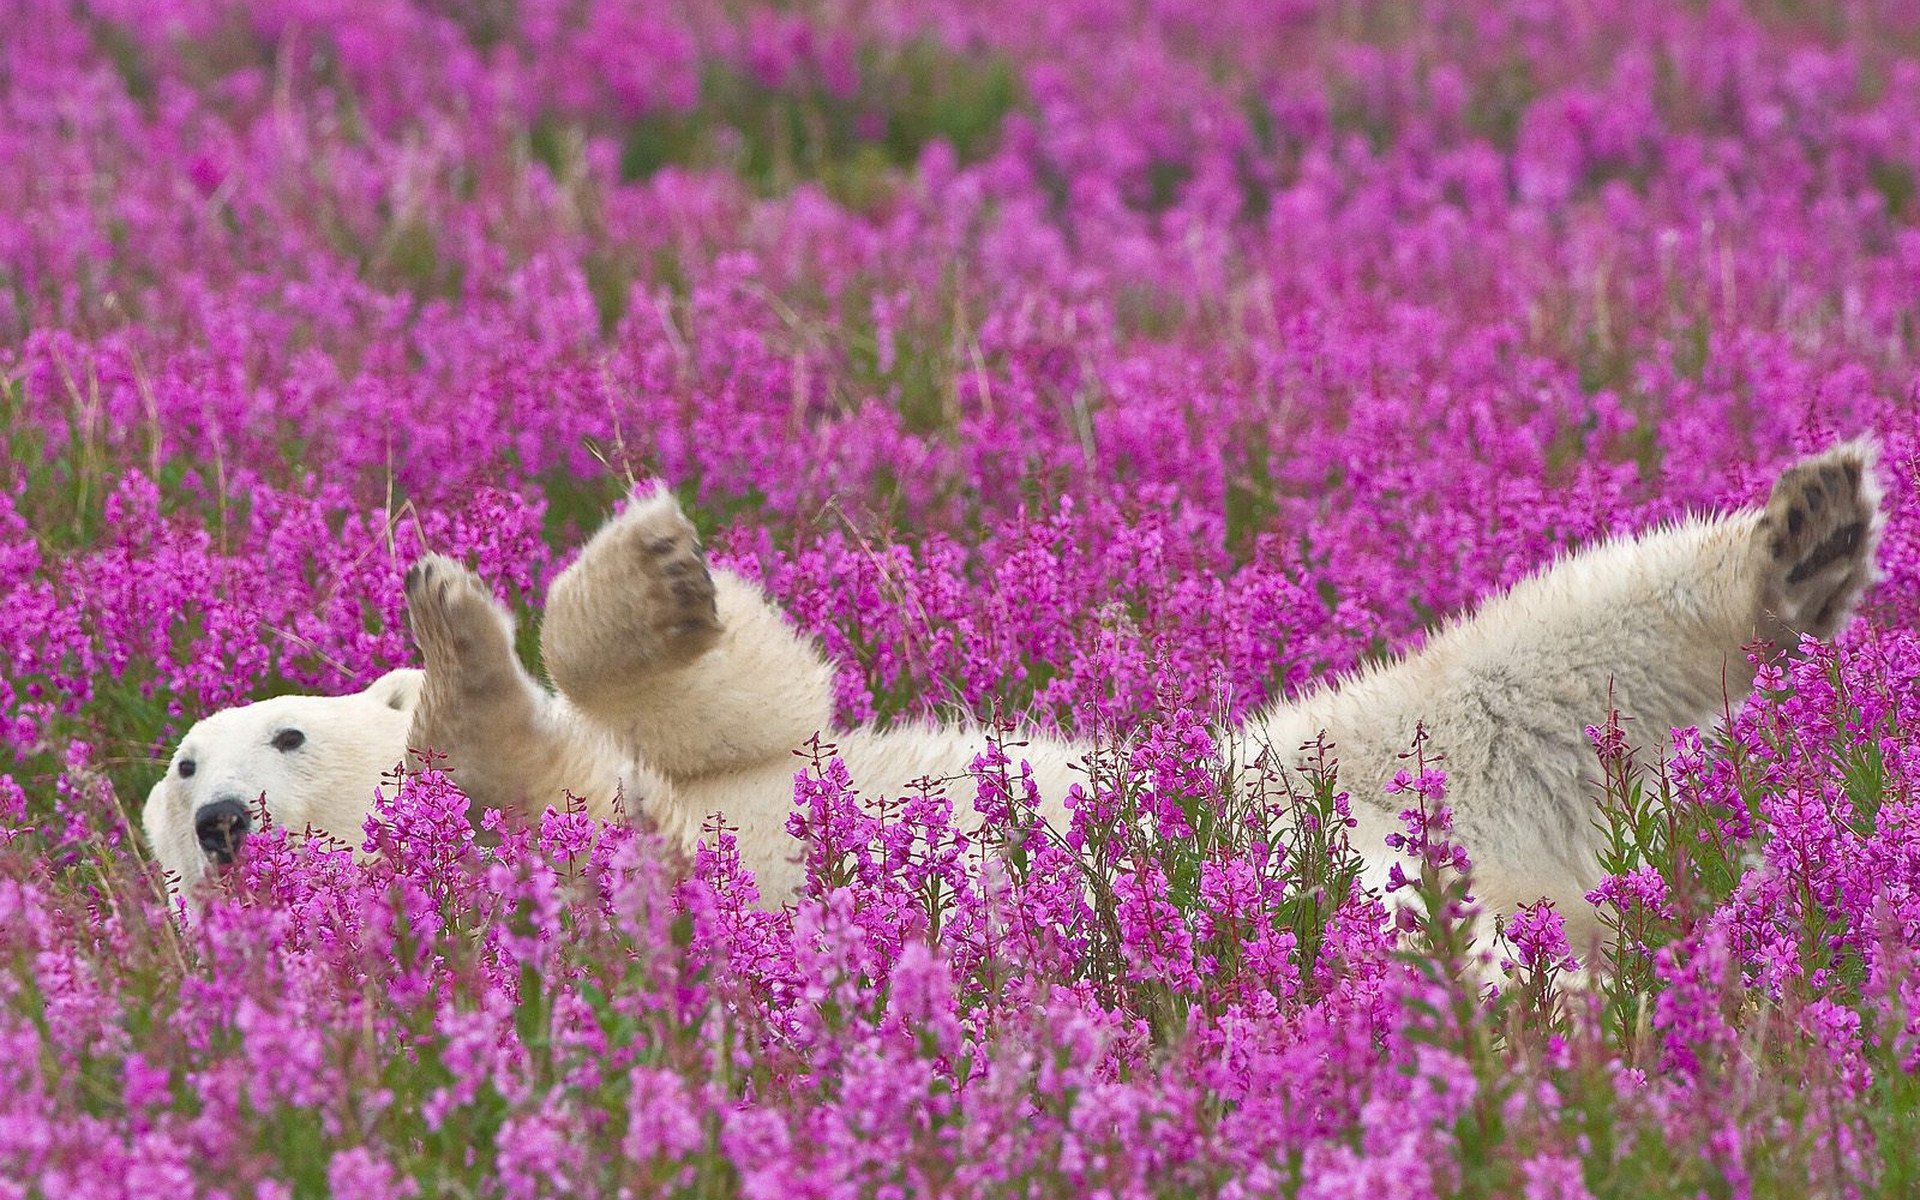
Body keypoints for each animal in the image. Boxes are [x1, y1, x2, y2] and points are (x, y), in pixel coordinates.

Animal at [144, 442, 1884, 952]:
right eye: (178, 775)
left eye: (271, 730)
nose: (222, 819)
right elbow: (549, 789)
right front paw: (462, 656)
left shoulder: (720, 765)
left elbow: (757, 703)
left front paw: (626, 574)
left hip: (1331, 763)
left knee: (1535, 656)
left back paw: (1804, 535)